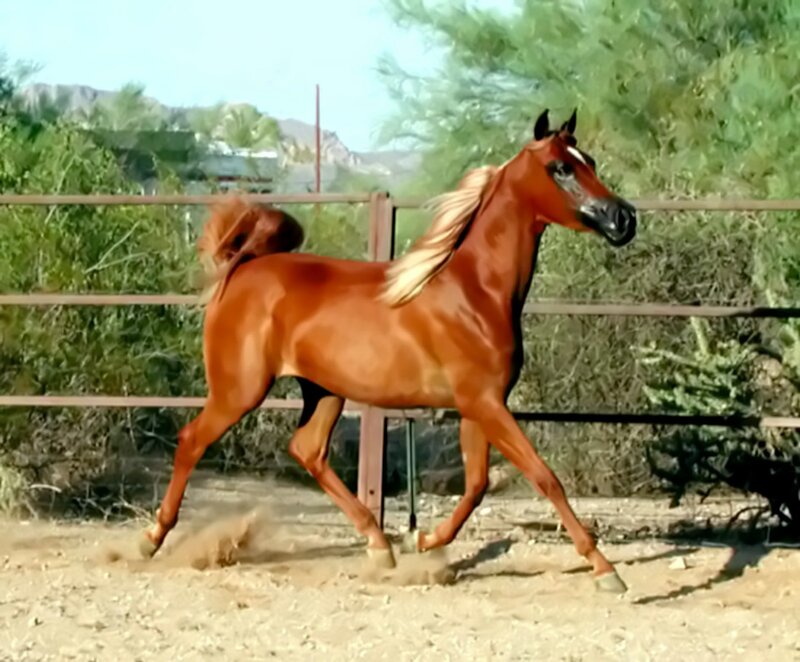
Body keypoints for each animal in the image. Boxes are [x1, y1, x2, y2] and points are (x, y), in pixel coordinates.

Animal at [139, 108, 637, 593]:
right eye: (560, 168)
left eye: (590, 161)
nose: (624, 218)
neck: (475, 292)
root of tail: (241, 268)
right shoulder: (485, 403)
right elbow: (544, 477)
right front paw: (604, 570)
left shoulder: (479, 405)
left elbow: (477, 484)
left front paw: (428, 541)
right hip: (240, 390)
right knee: (192, 440)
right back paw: (151, 539)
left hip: (323, 390)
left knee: (308, 450)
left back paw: (380, 546)